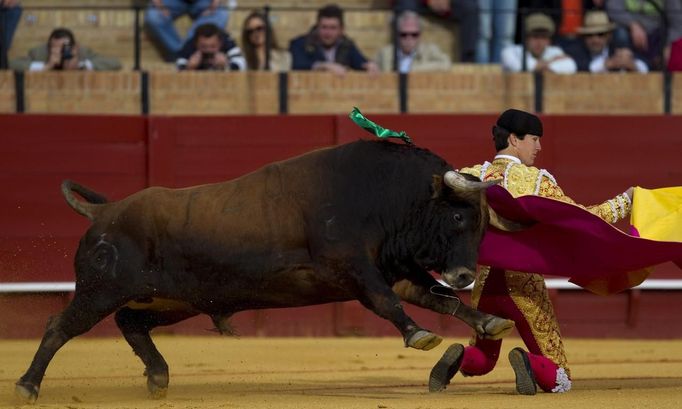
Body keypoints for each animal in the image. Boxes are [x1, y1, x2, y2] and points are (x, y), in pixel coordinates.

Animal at [15, 140, 512, 402]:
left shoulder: (398, 270)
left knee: (130, 321)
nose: (467, 276)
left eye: (482, 225)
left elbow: (439, 299)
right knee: (59, 325)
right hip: (99, 289)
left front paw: (490, 320)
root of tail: (105, 212)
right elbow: (387, 303)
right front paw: (418, 335)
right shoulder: (351, 267)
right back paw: (26, 386)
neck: (389, 197)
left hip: (178, 300)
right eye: (457, 217)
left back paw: (158, 376)